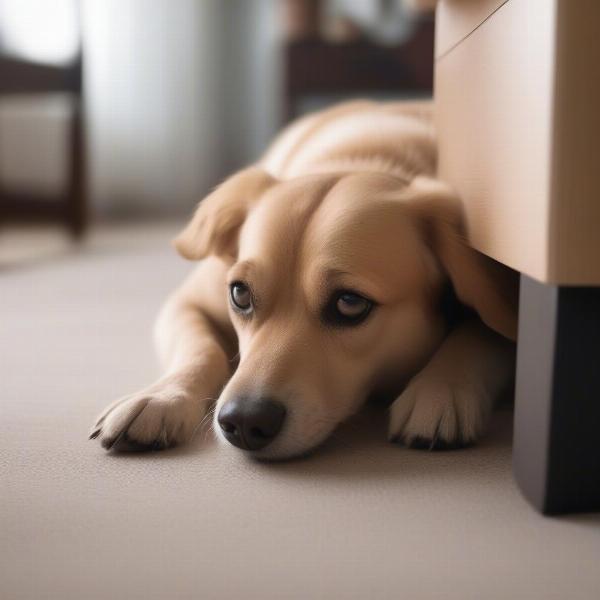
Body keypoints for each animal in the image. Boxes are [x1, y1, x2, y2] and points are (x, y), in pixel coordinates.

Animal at [88, 102, 516, 460]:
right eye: (240, 294)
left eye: (350, 304)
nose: (244, 422)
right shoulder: (186, 302)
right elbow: (200, 348)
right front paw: (160, 398)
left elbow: (480, 334)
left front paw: (440, 389)